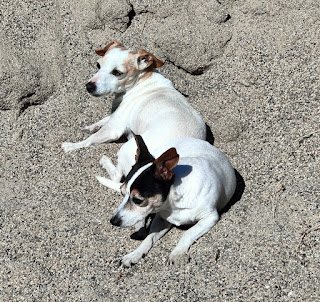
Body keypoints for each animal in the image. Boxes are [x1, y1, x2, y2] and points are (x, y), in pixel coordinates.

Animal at [97, 134, 238, 266]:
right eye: (122, 193)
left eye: (138, 200)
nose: (113, 221)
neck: (173, 203)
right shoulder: (161, 219)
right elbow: (148, 238)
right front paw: (135, 254)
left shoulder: (210, 217)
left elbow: (187, 233)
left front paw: (177, 253)